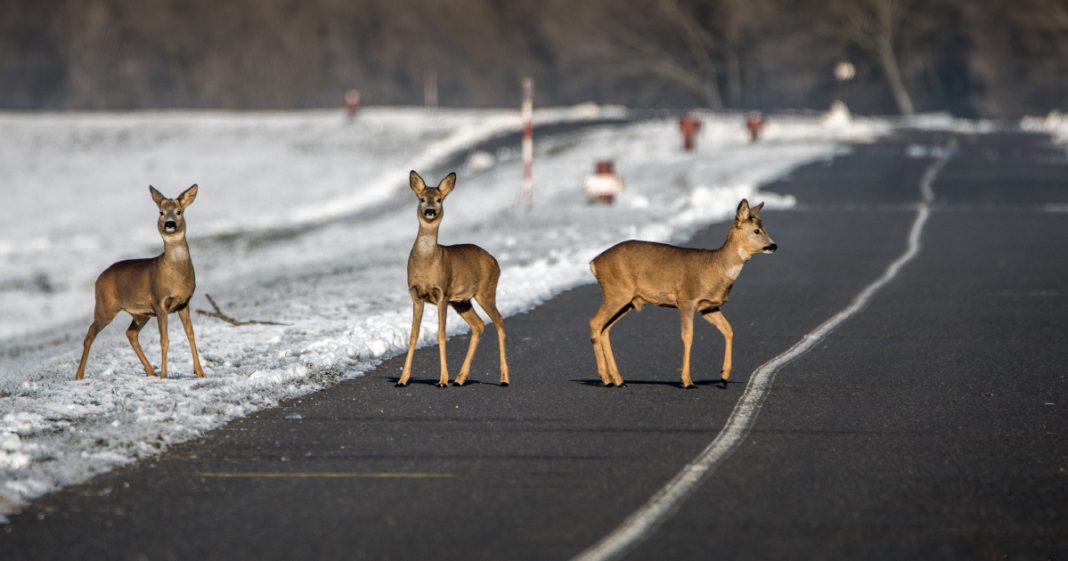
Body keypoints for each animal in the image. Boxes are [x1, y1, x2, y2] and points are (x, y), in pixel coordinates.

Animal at [74, 184, 206, 380]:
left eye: (179, 211)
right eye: (161, 212)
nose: (169, 224)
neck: (174, 275)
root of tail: (98, 279)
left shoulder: (184, 303)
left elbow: (190, 334)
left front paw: (200, 372)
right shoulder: (160, 302)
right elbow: (164, 340)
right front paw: (164, 376)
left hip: (141, 314)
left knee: (130, 333)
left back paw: (150, 370)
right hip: (105, 306)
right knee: (90, 333)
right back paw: (79, 375)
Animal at [399, 170, 510, 386]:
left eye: (439, 199)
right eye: (422, 199)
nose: (430, 211)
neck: (426, 264)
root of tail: (495, 261)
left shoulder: (442, 294)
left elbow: (441, 334)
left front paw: (442, 380)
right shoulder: (415, 296)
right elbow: (413, 335)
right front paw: (402, 379)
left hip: (486, 291)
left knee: (499, 321)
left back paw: (504, 378)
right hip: (462, 301)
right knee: (478, 325)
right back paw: (460, 378)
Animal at [589, 198, 781, 386]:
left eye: (763, 228)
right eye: (756, 230)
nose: (774, 245)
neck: (715, 267)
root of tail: (594, 263)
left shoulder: (709, 307)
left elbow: (728, 330)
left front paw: (724, 377)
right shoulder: (686, 299)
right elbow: (688, 336)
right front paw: (687, 380)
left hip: (627, 300)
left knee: (605, 329)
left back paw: (617, 379)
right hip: (617, 292)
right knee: (595, 322)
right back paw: (605, 378)